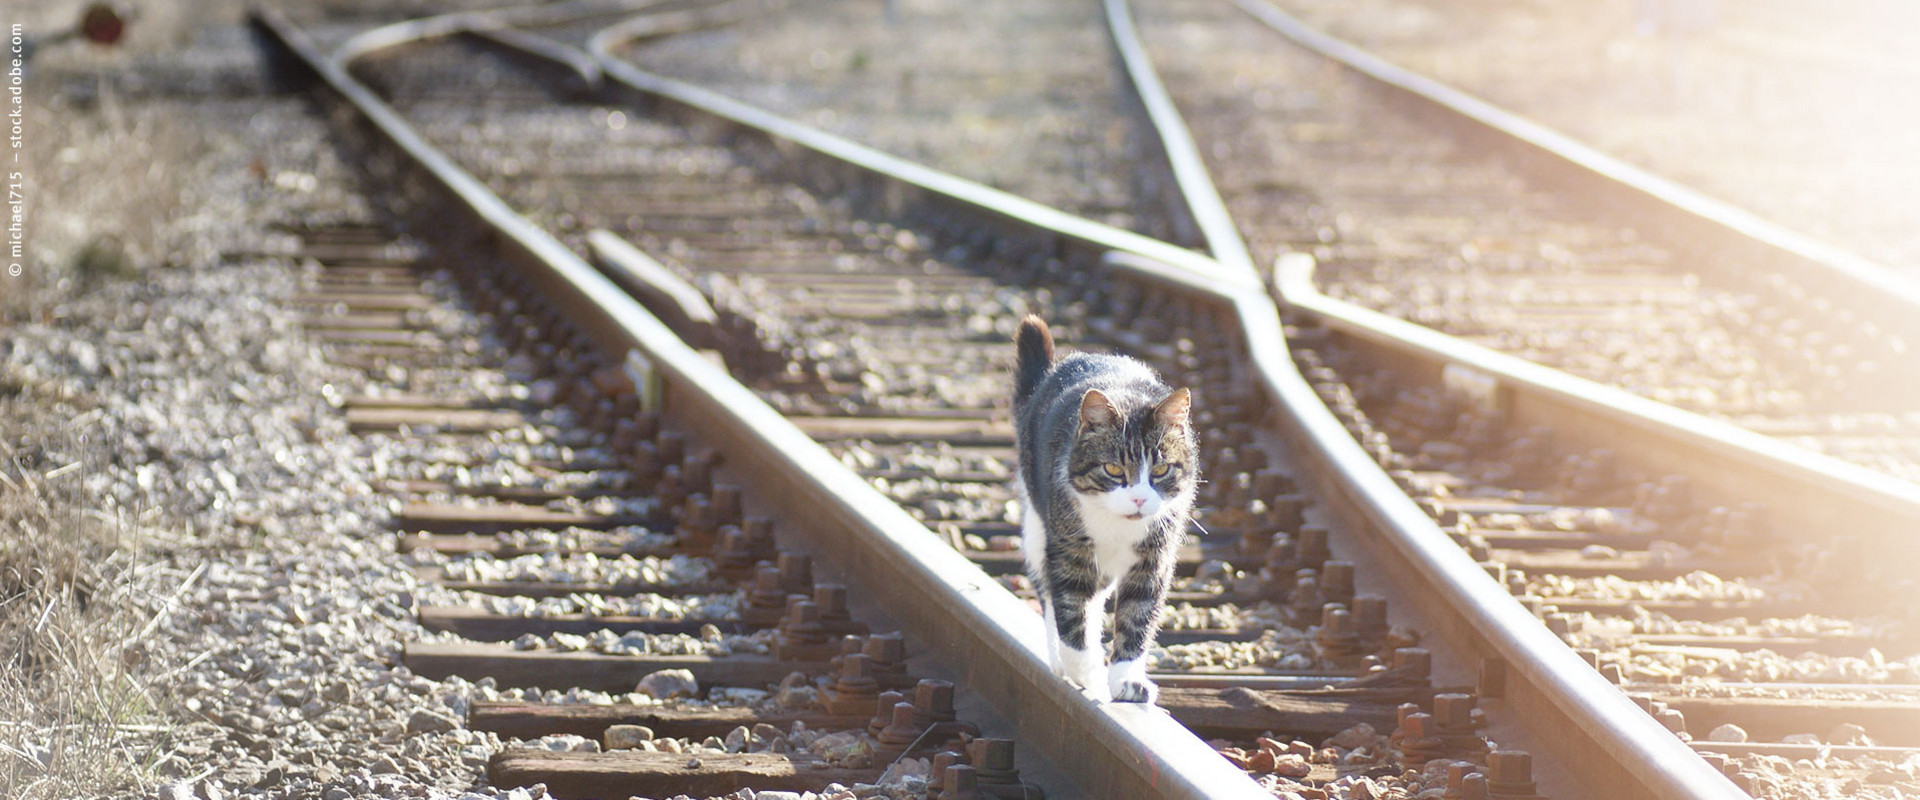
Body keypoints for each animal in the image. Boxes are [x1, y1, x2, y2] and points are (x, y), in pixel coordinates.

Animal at [1013, 314, 1190, 702]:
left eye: (1160, 470)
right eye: (1113, 469)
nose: (1139, 498)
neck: (1118, 525)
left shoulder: (1154, 553)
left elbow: (1137, 614)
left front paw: (1127, 680)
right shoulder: (1067, 546)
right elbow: (1069, 606)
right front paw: (1087, 673)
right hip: (1038, 527)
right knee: (1050, 591)